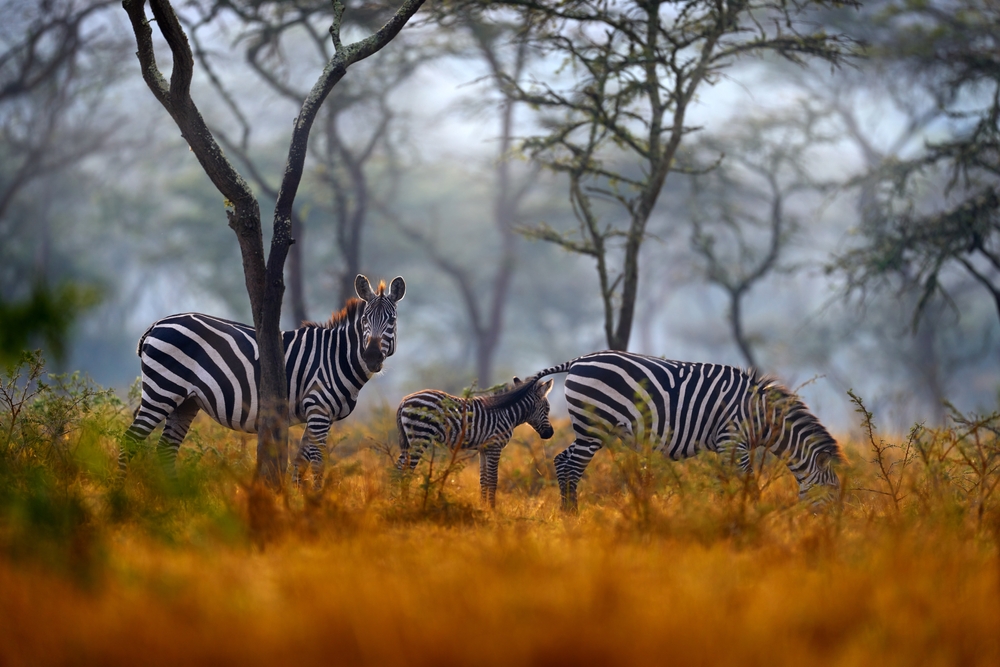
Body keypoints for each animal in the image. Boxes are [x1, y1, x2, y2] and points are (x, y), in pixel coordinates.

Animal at [120, 272, 406, 486]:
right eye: (366, 319)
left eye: (392, 320)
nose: (372, 357)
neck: (336, 356)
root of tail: (157, 323)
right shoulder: (319, 410)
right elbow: (317, 462)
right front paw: (316, 505)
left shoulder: (316, 414)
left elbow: (299, 462)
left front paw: (297, 505)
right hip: (162, 390)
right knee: (131, 439)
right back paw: (120, 495)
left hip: (185, 401)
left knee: (166, 449)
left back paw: (175, 499)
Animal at [396, 378, 556, 508]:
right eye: (548, 408)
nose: (550, 434)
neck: (506, 413)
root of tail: (404, 400)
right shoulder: (494, 446)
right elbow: (493, 480)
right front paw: (492, 509)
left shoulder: (483, 449)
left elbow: (483, 480)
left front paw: (483, 507)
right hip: (420, 437)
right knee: (407, 471)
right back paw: (405, 502)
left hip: (409, 441)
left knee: (398, 468)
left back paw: (395, 500)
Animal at [532, 352, 844, 516]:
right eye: (833, 491)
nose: (830, 532)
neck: (760, 417)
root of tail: (577, 360)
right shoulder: (733, 440)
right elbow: (748, 484)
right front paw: (751, 517)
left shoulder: (726, 447)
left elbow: (726, 485)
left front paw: (728, 515)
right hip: (594, 427)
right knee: (572, 467)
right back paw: (573, 516)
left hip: (589, 430)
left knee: (561, 460)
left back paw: (566, 514)